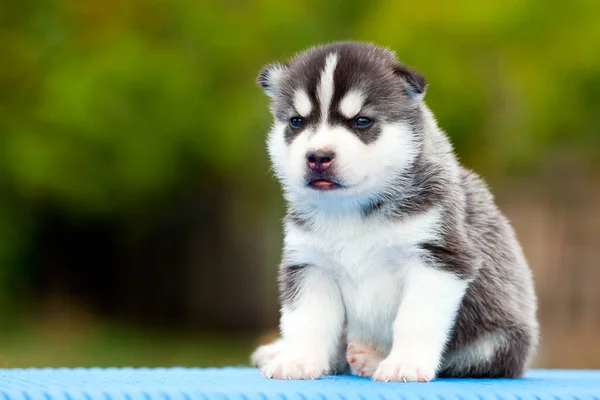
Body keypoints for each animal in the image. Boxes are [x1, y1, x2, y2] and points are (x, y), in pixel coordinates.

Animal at [250, 41, 540, 382]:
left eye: (361, 121)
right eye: (297, 121)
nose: (318, 156)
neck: (352, 211)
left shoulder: (438, 258)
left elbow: (415, 319)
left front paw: (406, 363)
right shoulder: (310, 264)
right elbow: (307, 321)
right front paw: (298, 360)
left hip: (497, 341)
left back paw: (371, 358)